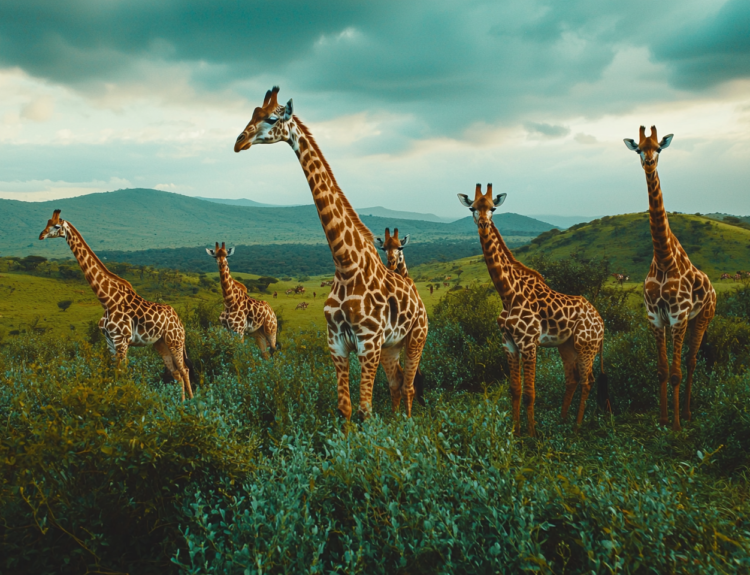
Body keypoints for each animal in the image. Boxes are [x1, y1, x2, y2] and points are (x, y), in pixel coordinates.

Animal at [39, 210, 194, 400]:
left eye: (56, 226)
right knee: (176, 372)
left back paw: (192, 402)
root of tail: (179, 321)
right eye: (47, 222)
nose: (41, 235)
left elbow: (122, 374)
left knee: (184, 369)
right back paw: (180, 402)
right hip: (161, 343)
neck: (107, 300)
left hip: (175, 341)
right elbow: (113, 374)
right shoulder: (110, 341)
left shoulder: (121, 341)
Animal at [234, 85, 428, 418]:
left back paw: (407, 423)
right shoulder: (336, 344)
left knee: (409, 385)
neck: (345, 263)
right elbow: (345, 409)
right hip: (392, 346)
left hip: (416, 338)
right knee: (397, 382)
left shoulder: (368, 344)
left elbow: (365, 410)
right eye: (252, 114)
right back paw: (396, 423)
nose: (239, 142)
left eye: (271, 118)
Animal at [458, 184, 612, 436]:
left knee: (588, 379)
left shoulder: (529, 343)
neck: (507, 294)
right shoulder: (508, 343)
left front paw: (531, 435)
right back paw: (562, 419)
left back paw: (577, 426)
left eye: (493, 208)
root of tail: (601, 321)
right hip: (566, 345)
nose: (483, 223)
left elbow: (530, 393)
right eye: (472, 208)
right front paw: (515, 431)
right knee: (572, 378)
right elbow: (515, 390)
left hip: (586, 345)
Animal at [624, 127, 720, 432]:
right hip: (686, 321)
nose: (649, 163)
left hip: (703, 317)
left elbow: (676, 371)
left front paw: (676, 425)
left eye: (659, 148)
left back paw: (688, 413)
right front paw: (663, 419)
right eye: (638, 149)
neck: (664, 259)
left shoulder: (678, 315)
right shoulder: (655, 317)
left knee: (691, 361)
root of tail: (714, 289)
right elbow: (662, 370)